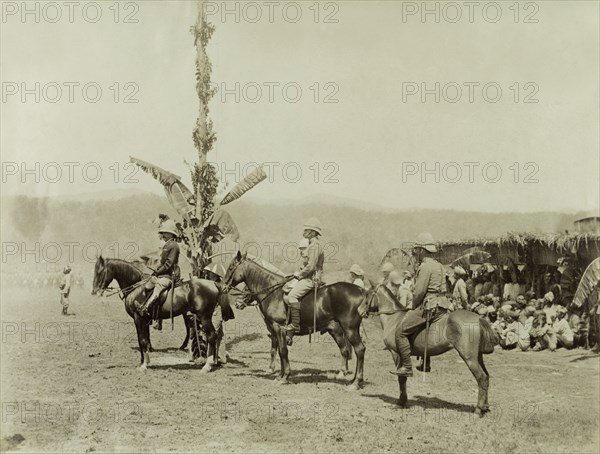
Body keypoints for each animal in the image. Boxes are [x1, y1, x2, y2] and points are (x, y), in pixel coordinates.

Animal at [92, 258, 224, 370]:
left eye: (99, 272)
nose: (94, 291)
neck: (136, 287)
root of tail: (213, 284)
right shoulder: (143, 320)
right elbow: (142, 340)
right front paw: (143, 362)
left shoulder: (138, 318)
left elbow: (143, 340)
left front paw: (144, 365)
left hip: (204, 317)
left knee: (211, 336)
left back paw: (207, 365)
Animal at [224, 252, 366, 386]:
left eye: (231, 267)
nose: (224, 286)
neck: (273, 293)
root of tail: (361, 291)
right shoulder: (275, 331)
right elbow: (278, 351)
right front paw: (279, 376)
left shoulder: (279, 328)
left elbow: (282, 351)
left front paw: (285, 376)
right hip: (340, 331)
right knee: (347, 350)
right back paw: (349, 377)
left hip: (348, 329)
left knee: (359, 349)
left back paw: (355, 382)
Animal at [360, 286, 496, 416]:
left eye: (367, 294)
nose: (359, 311)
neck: (394, 319)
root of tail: (479, 318)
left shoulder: (396, 353)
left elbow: (401, 378)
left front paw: (401, 402)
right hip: (478, 356)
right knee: (487, 377)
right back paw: (485, 407)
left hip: (469, 358)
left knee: (481, 378)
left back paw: (478, 410)